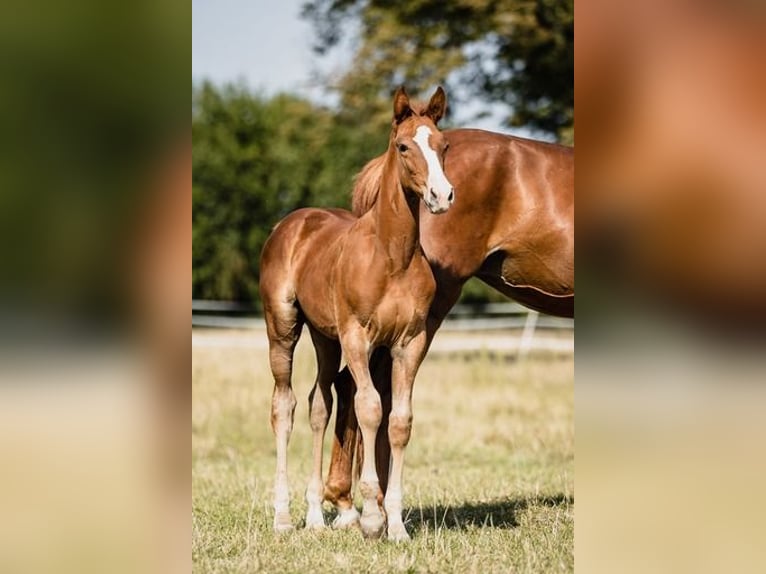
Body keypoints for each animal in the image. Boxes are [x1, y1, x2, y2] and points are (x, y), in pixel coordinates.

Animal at [260, 88, 456, 544]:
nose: (441, 196)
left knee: (318, 405)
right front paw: (370, 517)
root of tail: (291, 223)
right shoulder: (358, 337)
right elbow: (369, 408)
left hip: (324, 337)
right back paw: (282, 517)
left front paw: (396, 524)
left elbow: (399, 420)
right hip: (283, 328)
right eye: (403, 146)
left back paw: (315, 516)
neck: (392, 256)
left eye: (443, 146)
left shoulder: (409, 343)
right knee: (284, 406)